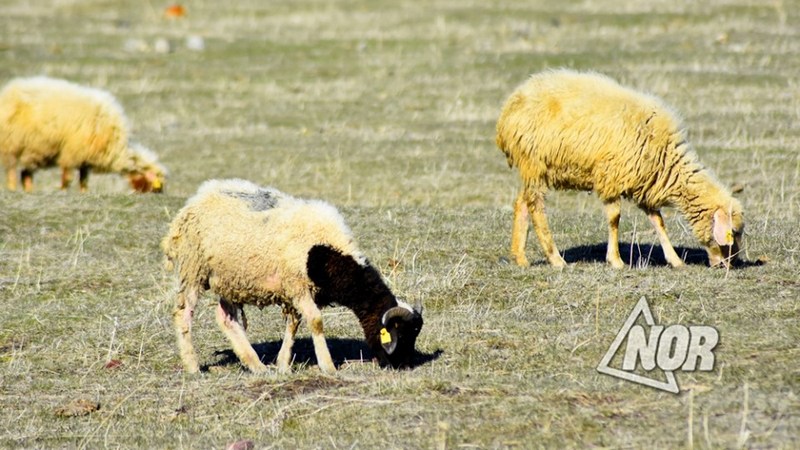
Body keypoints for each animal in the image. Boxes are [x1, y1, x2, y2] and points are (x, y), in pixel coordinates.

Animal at [0, 75, 166, 192]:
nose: (158, 194)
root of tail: (7, 92)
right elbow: (67, 176)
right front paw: (63, 190)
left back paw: (28, 190)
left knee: (26, 173)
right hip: (12, 143)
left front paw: (84, 192)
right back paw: (12, 188)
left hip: (33, 150)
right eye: (155, 183)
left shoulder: (84, 157)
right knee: (12, 170)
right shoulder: (72, 152)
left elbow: (84, 178)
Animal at [162, 178, 424, 372]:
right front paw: (328, 366)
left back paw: (256, 366)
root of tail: (197, 198)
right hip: (193, 269)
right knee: (184, 314)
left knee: (226, 318)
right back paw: (193, 366)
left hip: (230, 279)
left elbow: (293, 325)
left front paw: (282, 365)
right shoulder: (297, 286)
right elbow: (316, 321)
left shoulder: (296, 292)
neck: (329, 252)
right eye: (400, 334)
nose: (404, 366)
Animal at [496, 68, 748, 268]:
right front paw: (616, 260)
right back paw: (555, 259)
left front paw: (675, 260)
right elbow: (614, 218)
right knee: (536, 208)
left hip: (538, 170)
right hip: (534, 162)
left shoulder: (646, 183)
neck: (667, 160)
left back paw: (520, 257)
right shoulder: (612, 177)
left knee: (522, 203)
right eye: (733, 232)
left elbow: (658, 222)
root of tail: (509, 108)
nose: (730, 264)